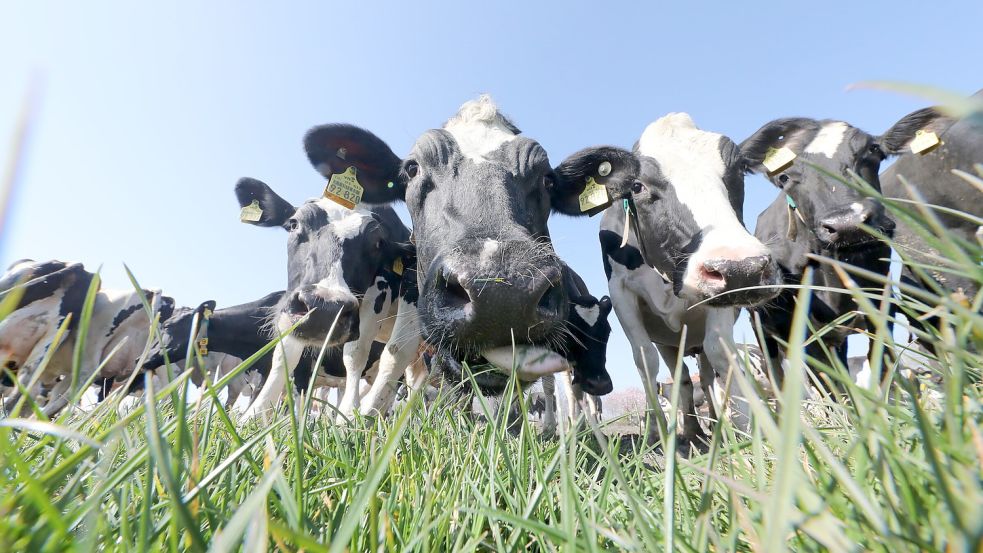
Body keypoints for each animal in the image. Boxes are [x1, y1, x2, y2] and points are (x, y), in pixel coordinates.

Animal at [236, 177, 424, 418]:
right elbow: (285, 353)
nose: (324, 310)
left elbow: (357, 353)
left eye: (378, 242)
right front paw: (255, 414)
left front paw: (350, 416)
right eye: (294, 224)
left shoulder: (382, 292)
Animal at [544, 113, 784, 448]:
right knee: (682, 377)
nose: (741, 268)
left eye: (739, 172)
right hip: (671, 341)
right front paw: (657, 431)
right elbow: (644, 359)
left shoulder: (723, 296)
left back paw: (717, 427)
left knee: (707, 375)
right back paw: (691, 431)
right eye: (637, 186)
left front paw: (747, 432)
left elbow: (721, 352)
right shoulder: (620, 292)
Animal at [744, 117, 900, 392]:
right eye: (785, 177)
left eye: (873, 150)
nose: (847, 224)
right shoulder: (805, 331)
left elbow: (883, 372)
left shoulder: (883, 307)